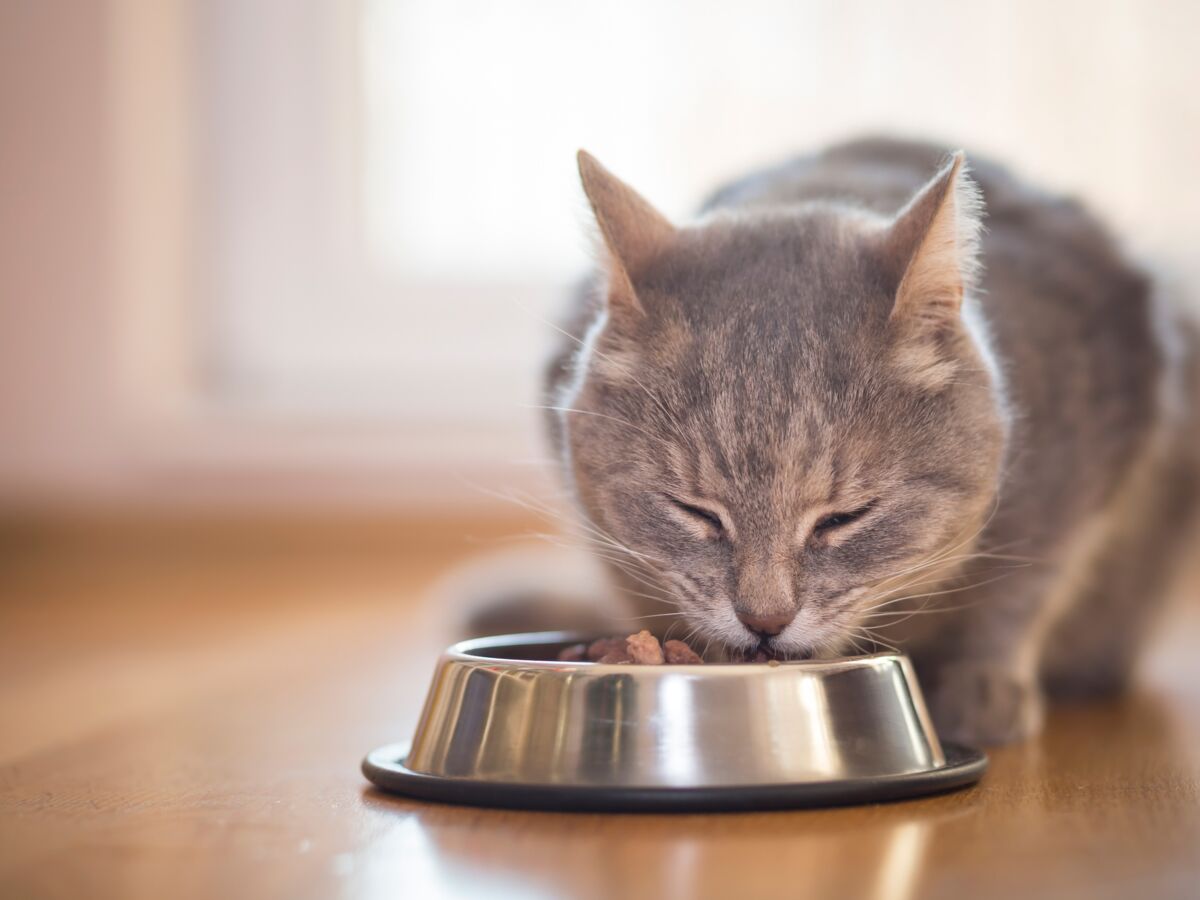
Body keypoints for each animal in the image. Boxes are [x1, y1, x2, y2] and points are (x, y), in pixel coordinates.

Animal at [492, 139, 1195, 748]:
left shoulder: (1090, 455)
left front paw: (984, 683)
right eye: (696, 513)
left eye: (845, 518)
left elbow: (1026, 588)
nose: (765, 621)